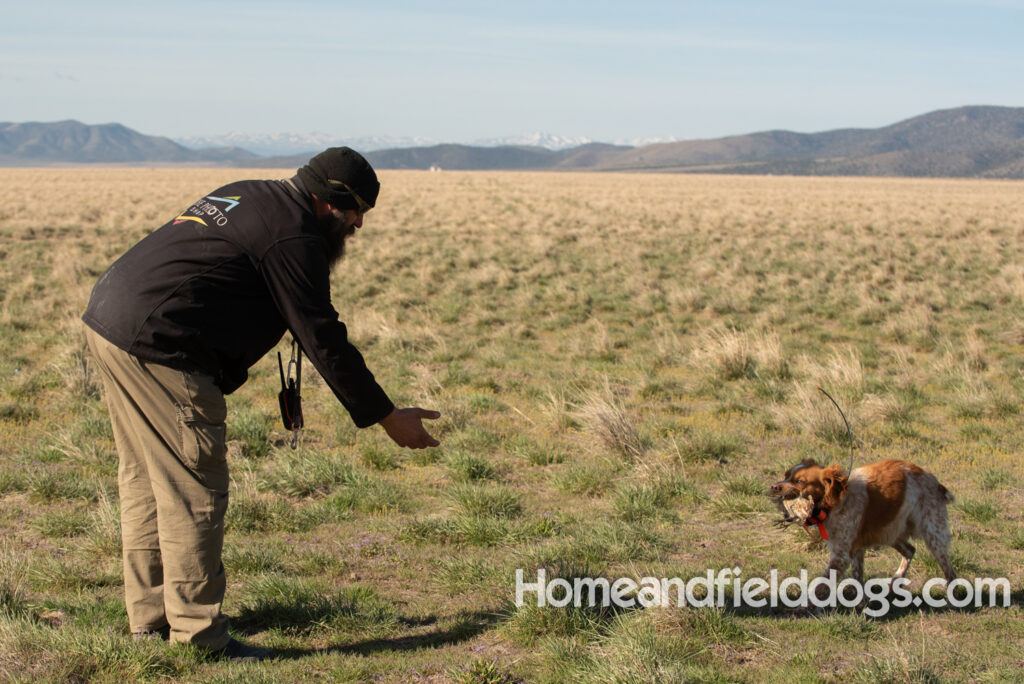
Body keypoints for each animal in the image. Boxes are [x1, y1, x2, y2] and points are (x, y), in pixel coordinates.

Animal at [770, 458, 954, 581]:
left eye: (800, 481)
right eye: (786, 475)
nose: (773, 487)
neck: (834, 503)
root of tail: (936, 482)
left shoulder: (842, 554)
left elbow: (821, 586)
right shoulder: (855, 548)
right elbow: (857, 580)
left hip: (933, 534)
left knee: (949, 571)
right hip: (888, 531)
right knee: (910, 550)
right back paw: (895, 581)